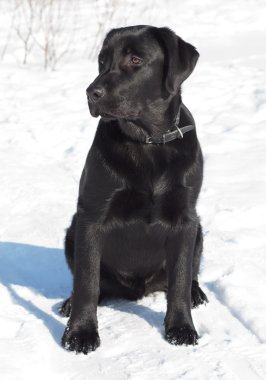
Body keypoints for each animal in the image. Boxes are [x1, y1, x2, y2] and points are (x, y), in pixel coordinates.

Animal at [59, 26, 208, 354]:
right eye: (102, 60)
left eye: (136, 59)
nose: (91, 93)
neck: (146, 141)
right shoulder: (91, 217)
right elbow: (86, 282)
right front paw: (80, 333)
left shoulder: (185, 219)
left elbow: (180, 279)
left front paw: (181, 328)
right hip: (72, 231)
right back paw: (69, 304)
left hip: (200, 230)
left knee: (189, 275)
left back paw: (197, 294)